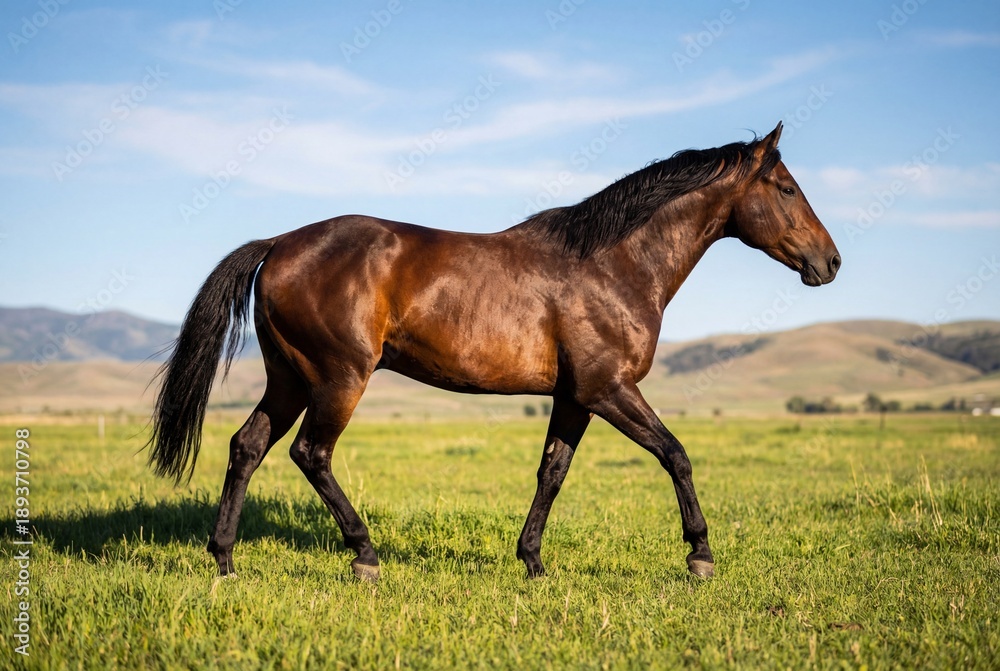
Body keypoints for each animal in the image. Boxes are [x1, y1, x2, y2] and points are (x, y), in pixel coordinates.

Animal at [147, 122, 840, 582]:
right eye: (785, 188)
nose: (830, 262)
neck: (613, 264)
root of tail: (279, 244)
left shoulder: (575, 397)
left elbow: (552, 472)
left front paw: (532, 562)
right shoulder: (609, 389)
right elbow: (676, 454)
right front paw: (699, 555)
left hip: (290, 379)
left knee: (247, 447)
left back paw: (224, 559)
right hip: (338, 379)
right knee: (309, 454)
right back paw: (365, 555)